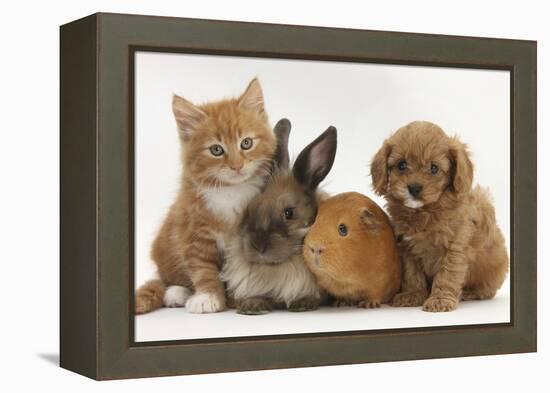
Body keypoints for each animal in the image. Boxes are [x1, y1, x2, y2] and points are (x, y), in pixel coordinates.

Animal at [136, 79, 278, 312]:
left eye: (246, 143)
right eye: (216, 150)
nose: (237, 166)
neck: (231, 191)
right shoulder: (193, 230)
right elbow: (203, 268)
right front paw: (208, 296)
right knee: (166, 280)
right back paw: (177, 293)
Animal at [374, 121, 512, 310]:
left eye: (434, 168)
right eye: (401, 165)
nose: (414, 188)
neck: (424, 212)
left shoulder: (455, 248)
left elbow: (447, 275)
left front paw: (440, 300)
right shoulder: (407, 249)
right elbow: (412, 274)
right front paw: (412, 295)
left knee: (487, 290)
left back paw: (470, 293)